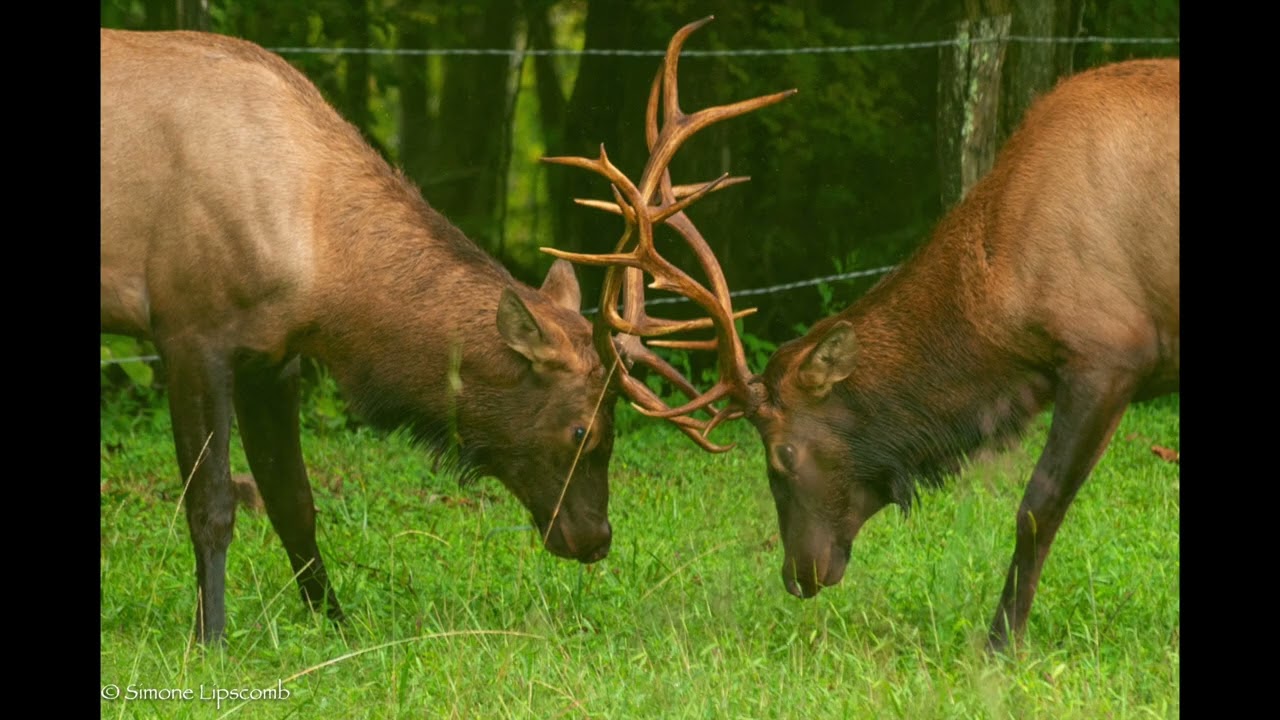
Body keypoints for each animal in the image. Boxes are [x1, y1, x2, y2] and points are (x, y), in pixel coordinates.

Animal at [100, 28, 620, 644]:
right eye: (582, 429)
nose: (596, 537)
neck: (321, 274)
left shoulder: (272, 356)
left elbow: (294, 502)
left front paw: (335, 622)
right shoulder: (189, 332)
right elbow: (212, 506)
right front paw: (210, 639)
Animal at [543, 16, 1178, 653]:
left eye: (781, 457)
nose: (798, 575)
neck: (1006, 293)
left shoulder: (1109, 351)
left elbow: (1035, 508)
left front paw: (1001, 644)